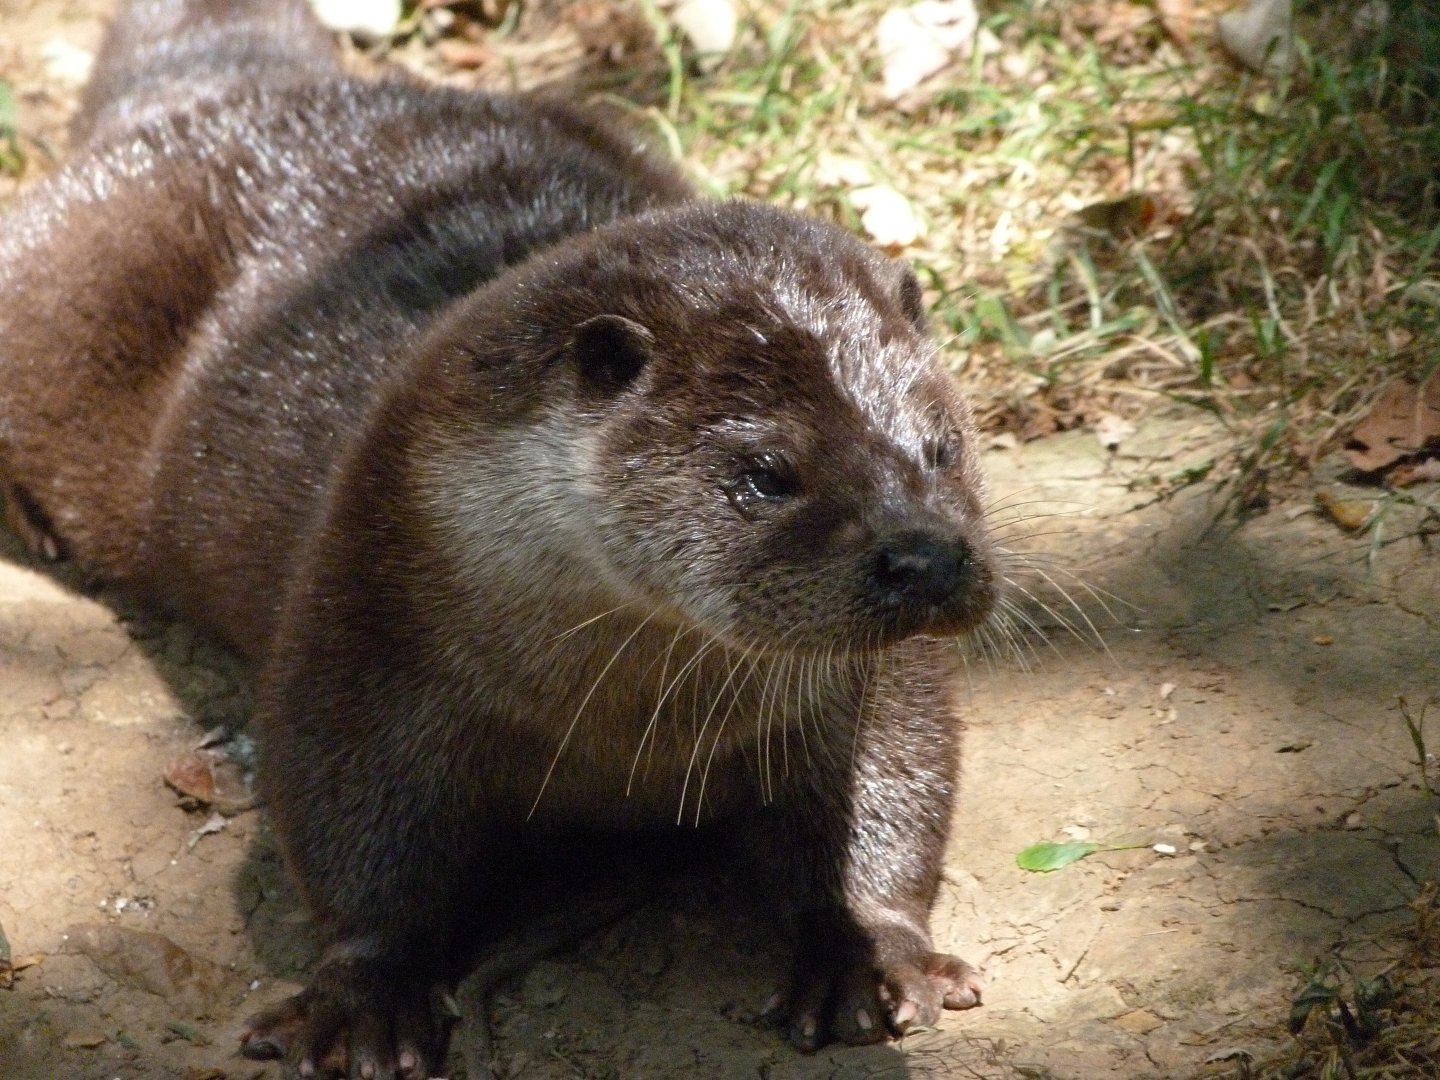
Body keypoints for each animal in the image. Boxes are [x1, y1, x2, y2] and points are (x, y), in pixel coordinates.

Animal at [0, 1, 998, 1076]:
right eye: (768, 473)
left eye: (940, 446)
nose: (925, 558)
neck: (626, 725)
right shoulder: (366, 601)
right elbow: (344, 808)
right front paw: (368, 999)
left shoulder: (864, 688)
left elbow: (897, 780)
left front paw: (867, 956)